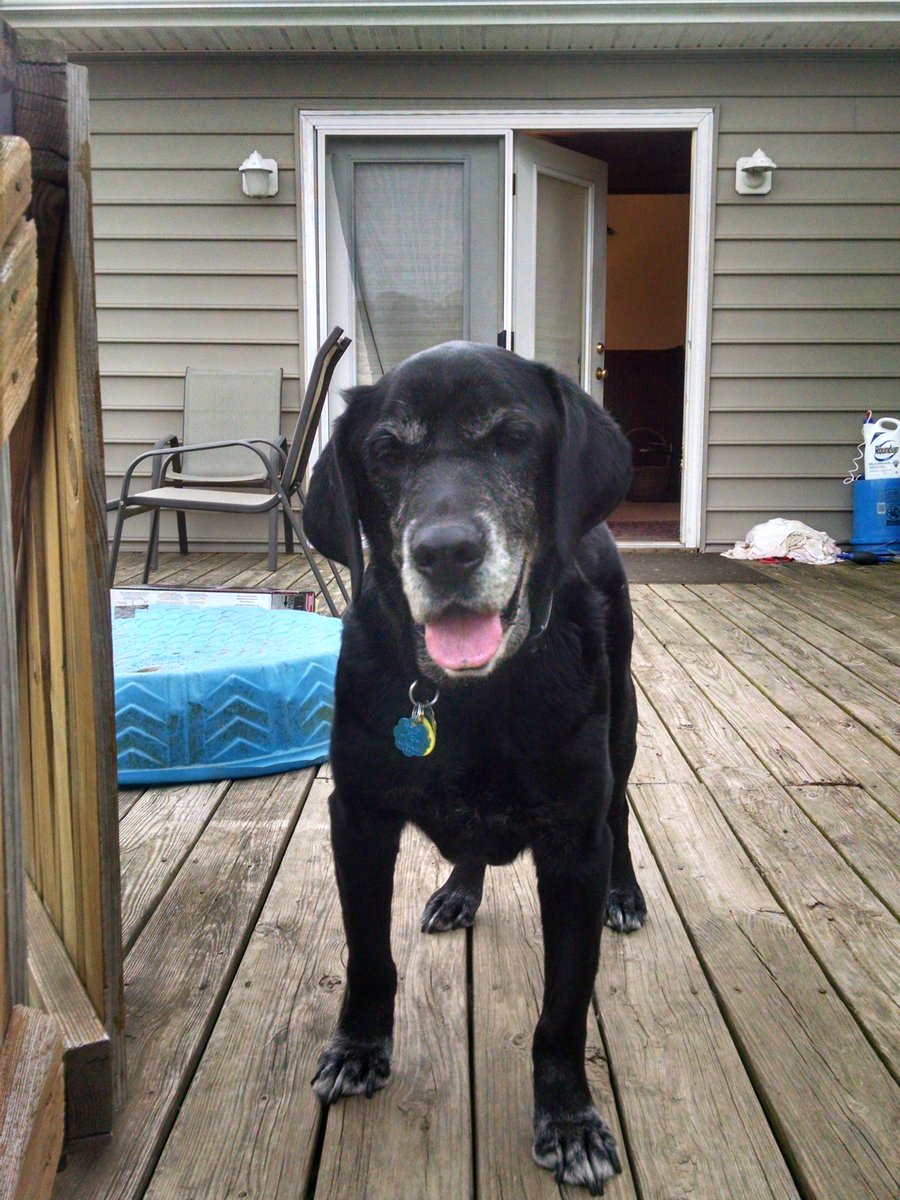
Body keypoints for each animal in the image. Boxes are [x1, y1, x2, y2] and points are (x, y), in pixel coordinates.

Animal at [303, 341, 647, 1195]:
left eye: (514, 437)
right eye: (386, 452)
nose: (446, 551)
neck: (471, 698)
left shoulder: (573, 846)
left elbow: (563, 1008)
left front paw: (568, 1118)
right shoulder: (357, 817)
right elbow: (368, 956)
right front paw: (359, 1047)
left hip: (622, 725)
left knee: (622, 809)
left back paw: (625, 893)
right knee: (470, 849)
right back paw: (459, 891)